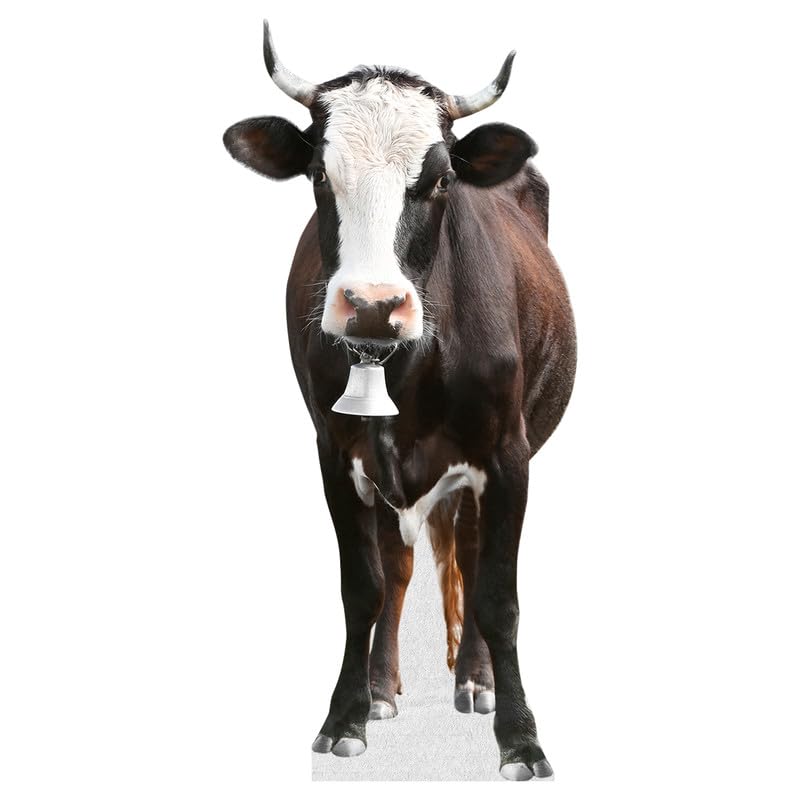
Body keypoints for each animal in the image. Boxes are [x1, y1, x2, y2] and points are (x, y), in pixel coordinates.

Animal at [223, 21, 577, 781]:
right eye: (319, 175)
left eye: (439, 178)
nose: (373, 307)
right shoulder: (336, 453)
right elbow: (365, 586)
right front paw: (346, 715)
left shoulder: (508, 457)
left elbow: (498, 595)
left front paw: (521, 738)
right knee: (401, 565)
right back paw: (383, 688)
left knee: (466, 557)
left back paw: (474, 679)